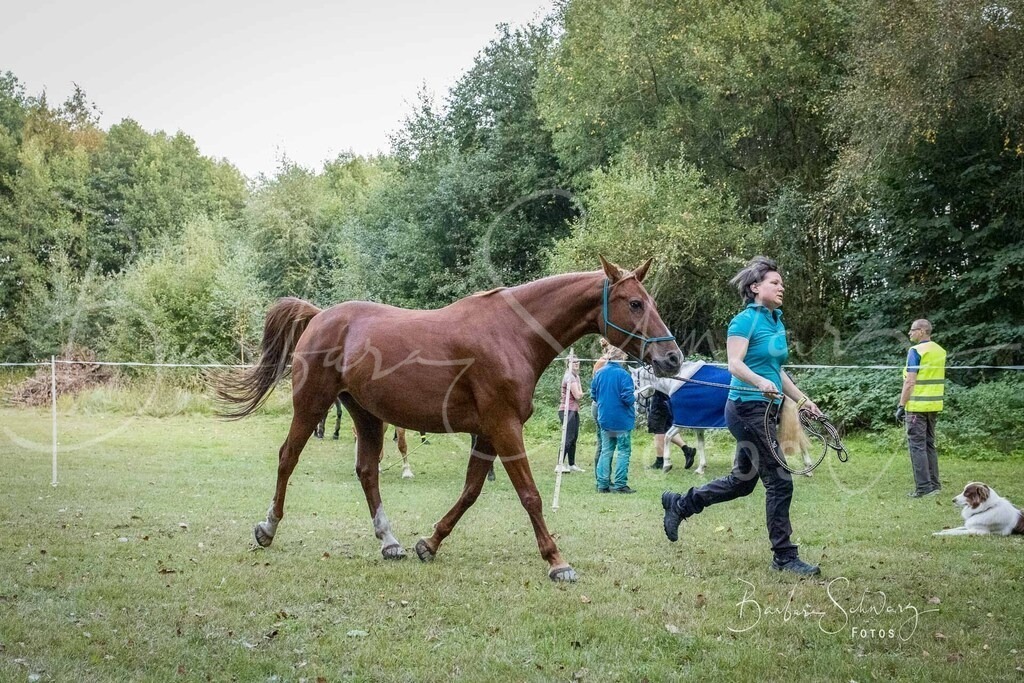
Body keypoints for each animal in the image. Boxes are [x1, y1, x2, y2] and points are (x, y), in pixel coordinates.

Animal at [215, 257, 681, 582]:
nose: (672, 357)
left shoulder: (488, 433)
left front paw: (430, 543)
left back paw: (390, 541)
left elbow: (471, 490)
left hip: (367, 416)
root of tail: (320, 316)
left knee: (367, 471)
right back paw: (268, 528)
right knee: (287, 458)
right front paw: (556, 560)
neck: (512, 334)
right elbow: (530, 495)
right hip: (311, 405)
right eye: (635, 303)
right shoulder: (504, 427)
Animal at [632, 362, 813, 475]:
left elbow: (667, 437)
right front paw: (700, 468)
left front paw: (666, 465)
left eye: (634, 383)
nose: (638, 409)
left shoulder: (681, 421)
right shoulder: (698, 423)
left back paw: (808, 469)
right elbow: (700, 444)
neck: (677, 383)